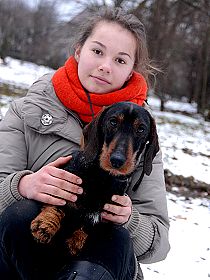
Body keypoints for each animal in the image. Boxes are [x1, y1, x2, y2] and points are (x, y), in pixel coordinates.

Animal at [30, 101, 159, 256]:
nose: (117, 160)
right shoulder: (64, 183)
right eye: (113, 121)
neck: (102, 177)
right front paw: (45, 225)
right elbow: (57, 205)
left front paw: (76, 242)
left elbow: (89, 225)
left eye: (141, 129)